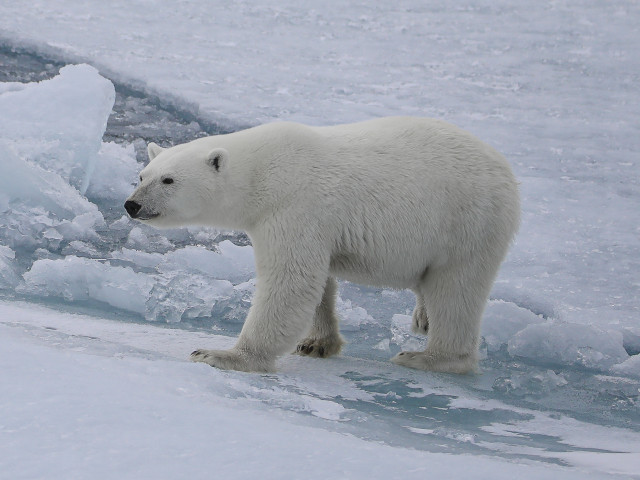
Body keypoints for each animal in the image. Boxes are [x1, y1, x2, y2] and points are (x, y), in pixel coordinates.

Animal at [125, 116, 520, 376]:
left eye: (168, 179)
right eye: (142, 175)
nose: (132, 205)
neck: (263, 172)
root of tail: (505, 169)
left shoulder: (295, 205)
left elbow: (292, 280)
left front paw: (220, 354)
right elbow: (319, 282)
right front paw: (317, 343)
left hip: (468, 222)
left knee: (456, 289)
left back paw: (427, 357)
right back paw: (422, 319)